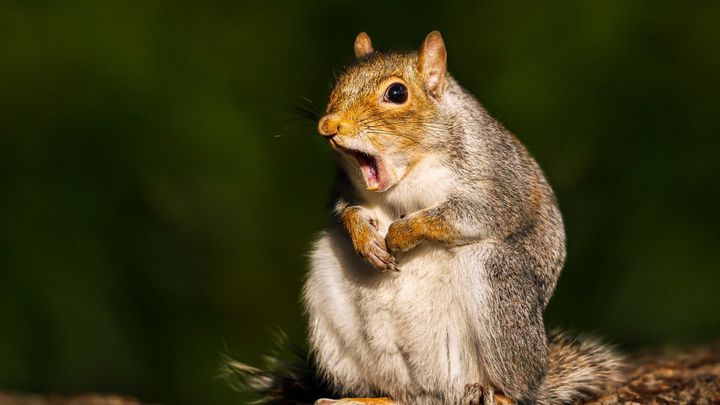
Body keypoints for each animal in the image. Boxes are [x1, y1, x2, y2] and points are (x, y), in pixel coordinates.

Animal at [231, 30, 624, 404]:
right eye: (337, 83)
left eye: (396, 92)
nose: (329, 125)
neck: (408, 172)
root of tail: (433, 389)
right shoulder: (344, 186)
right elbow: (344, 208)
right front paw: (364, 237)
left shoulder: (499, 184)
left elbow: (470, 214)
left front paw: (401, 234)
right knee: (393, 391)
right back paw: (363, 399)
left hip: (498, 285)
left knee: (518, 388)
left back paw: (494, 393)